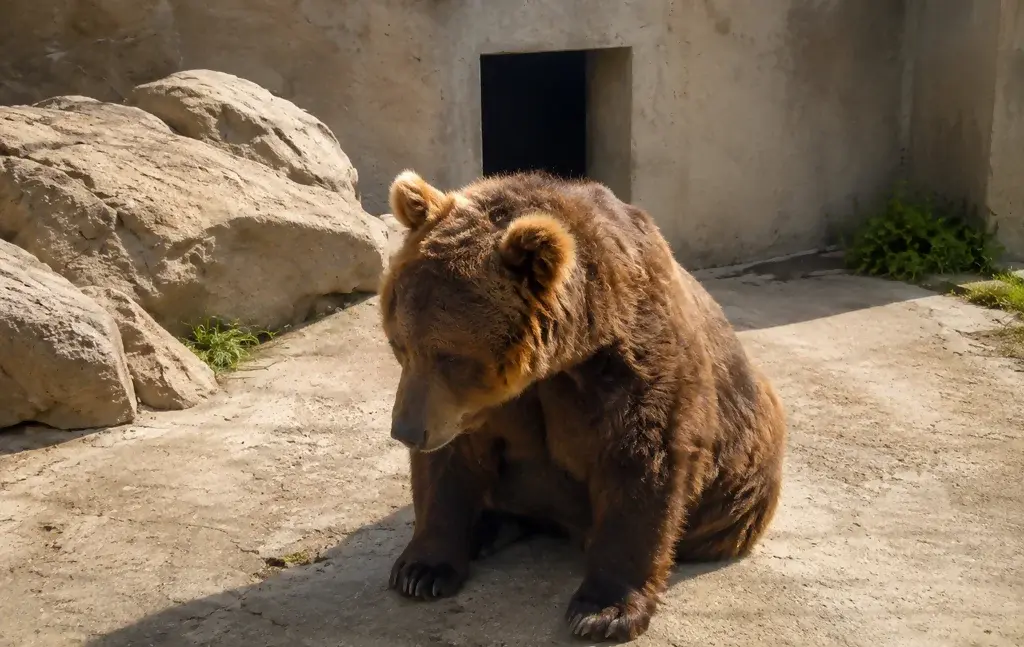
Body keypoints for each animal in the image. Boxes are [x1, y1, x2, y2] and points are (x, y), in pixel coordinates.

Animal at [379, 169, 787, 642]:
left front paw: (602, 612)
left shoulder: (630, 364)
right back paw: (486, 527)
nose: (406, 430)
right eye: (399, 343)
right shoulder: (476, 410)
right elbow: (448, 464)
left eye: (452, 357)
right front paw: (421, 570)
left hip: (745, 475)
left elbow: (643, 463)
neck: (558, 362)